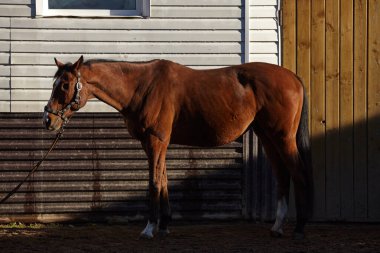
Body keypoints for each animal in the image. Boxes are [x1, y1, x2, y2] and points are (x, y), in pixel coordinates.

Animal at [43, 55, 314, 239]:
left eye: (65, 85)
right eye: (54, 83)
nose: (48, 120)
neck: (142, 87)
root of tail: (293, 78)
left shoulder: (156, 140)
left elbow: (153, 183)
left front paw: (149, 228)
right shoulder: (154, 143)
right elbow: (163, 180)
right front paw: (164, 225)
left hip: (283, 137)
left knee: (299, 173)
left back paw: (300, 228)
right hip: (267, 137)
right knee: (282, 175)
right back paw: (277, 227)